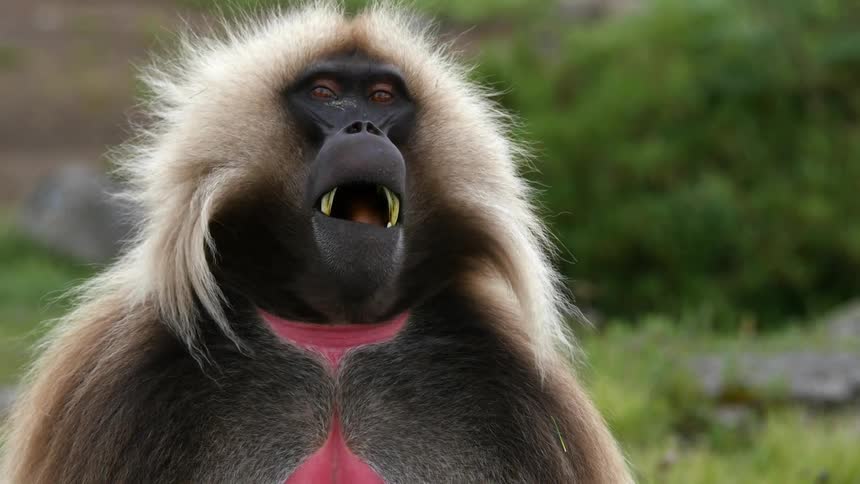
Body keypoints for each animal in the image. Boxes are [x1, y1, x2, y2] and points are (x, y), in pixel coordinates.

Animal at [1, 3, 633, 483]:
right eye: (325, 93)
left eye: (382, 98)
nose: (365, 130)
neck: (334, 335)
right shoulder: (107, 379)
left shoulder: (528, 393)